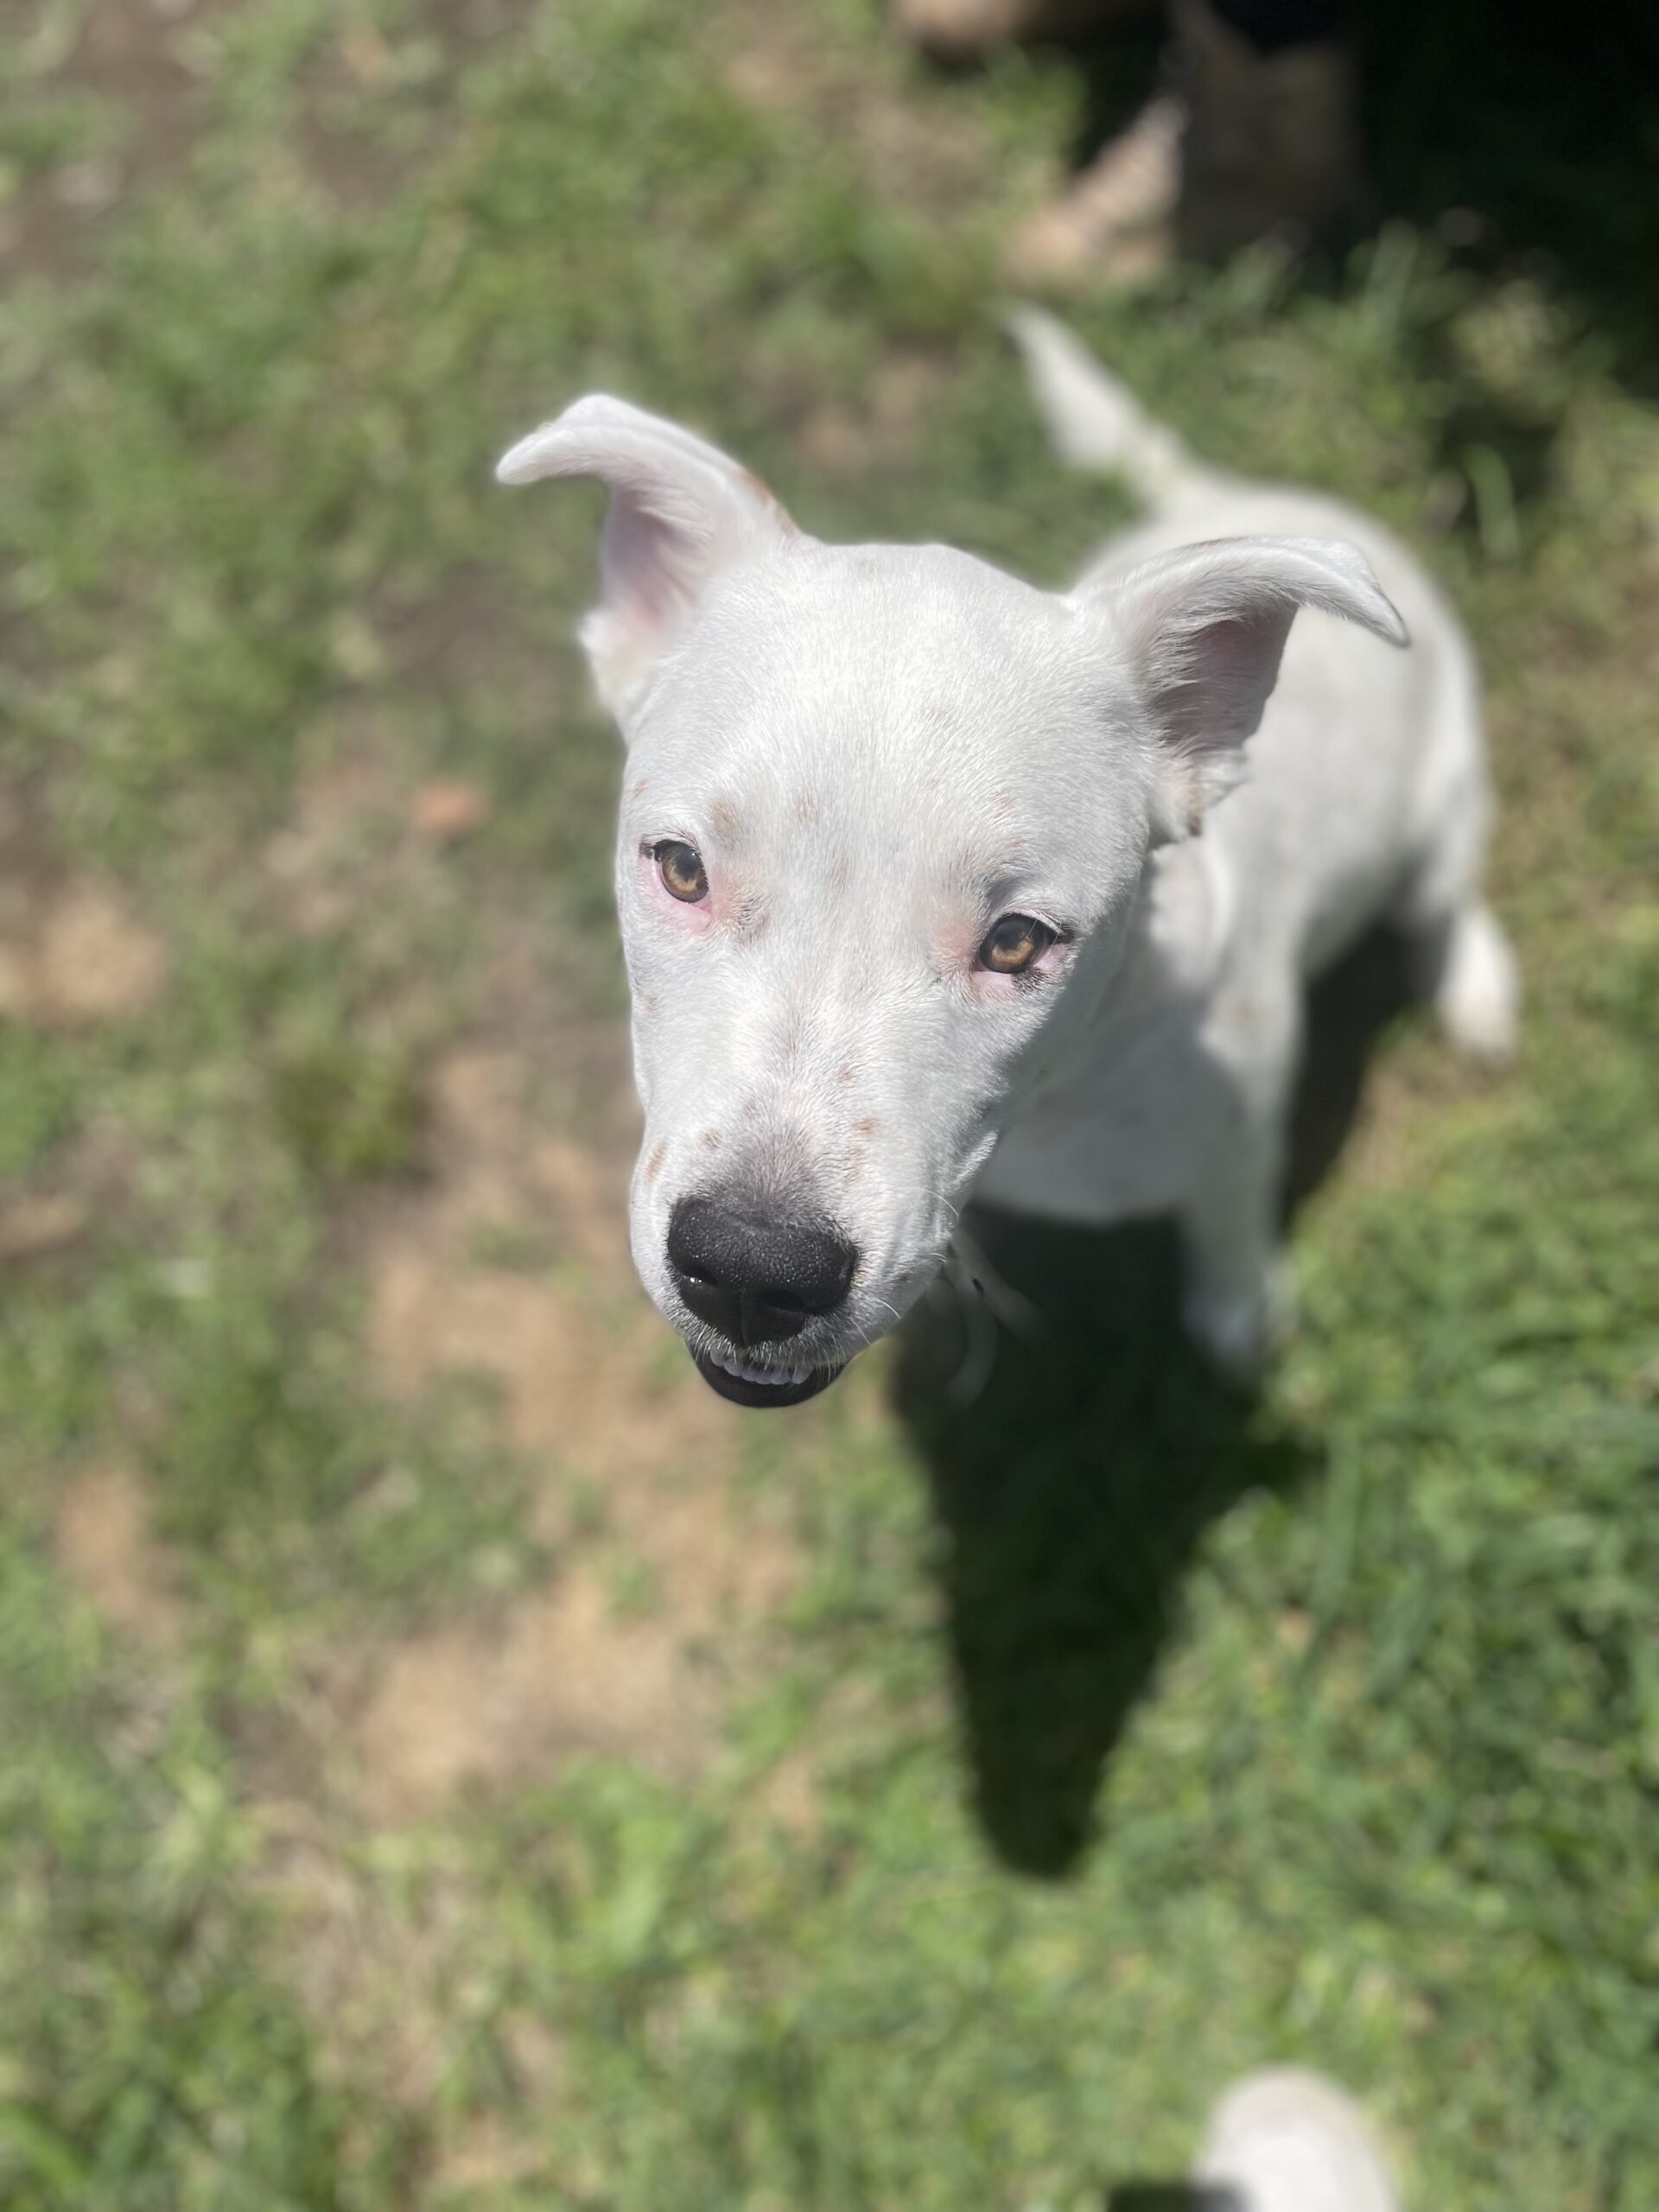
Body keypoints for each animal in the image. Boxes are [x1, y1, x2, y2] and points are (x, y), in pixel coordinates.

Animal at [497, 310, 1517, 1409]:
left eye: (1018, 941)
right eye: (681, 869)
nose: (750, 1269)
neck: (1052, 1106)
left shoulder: (1241, 1127)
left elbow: (1231, 1229)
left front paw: (1239, 1319)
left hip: (1441, 810)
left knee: (1445, 900)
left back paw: (1476, 988)